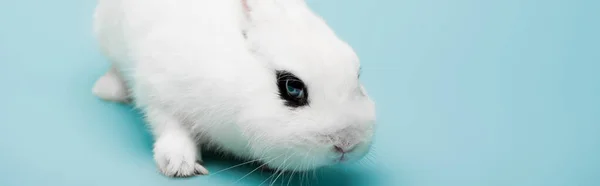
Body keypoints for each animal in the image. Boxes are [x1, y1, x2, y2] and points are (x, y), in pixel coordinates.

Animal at [92, 0, 376, 178]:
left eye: (357, 75)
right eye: (292, 87)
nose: (347, 144)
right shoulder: (158, 92)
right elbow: (171, 128)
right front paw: (180, 165)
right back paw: (106, 89)